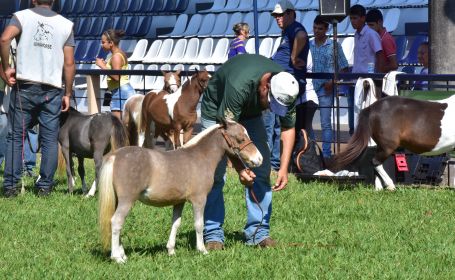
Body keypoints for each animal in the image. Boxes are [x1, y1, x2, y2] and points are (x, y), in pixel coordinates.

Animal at [100, 120, 264, 262]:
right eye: (241, 138)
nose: (259, 159)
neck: (199, 157)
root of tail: (115, 155)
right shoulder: (199, 200)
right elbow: (199, 224)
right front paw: (202, 250)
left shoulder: (179, 202)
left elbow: (175, 223)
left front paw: (171, 250)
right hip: (127, 200)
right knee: (116, 222)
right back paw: (117, 258)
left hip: (118, 200)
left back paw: (123, 254)